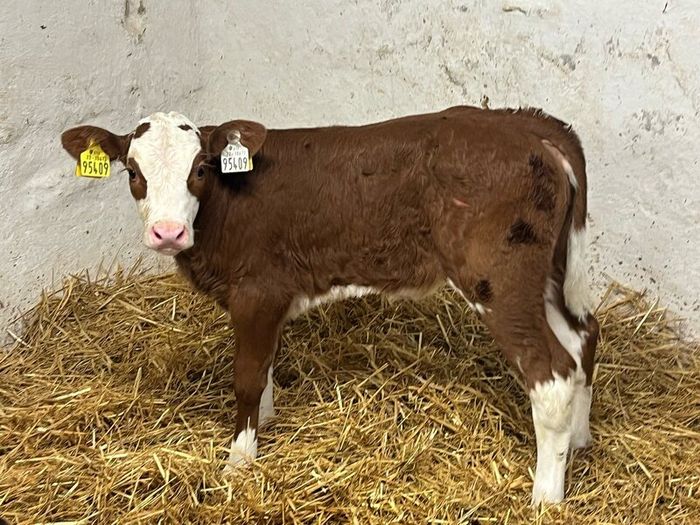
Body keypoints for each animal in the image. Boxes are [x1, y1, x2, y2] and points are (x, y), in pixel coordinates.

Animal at [61, 105, 599, 504]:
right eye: (133, 172)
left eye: (200, 169)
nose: (167, 232)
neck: (223, 208)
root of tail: (525, 125)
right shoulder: (268, 300)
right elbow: (266, 365)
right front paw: (266, 422)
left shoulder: (257, 290)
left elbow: (247, 376)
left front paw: (239, 461)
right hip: (547, 273)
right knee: (582, 340)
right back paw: (577, 442)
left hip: (499, 279)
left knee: (551, 371)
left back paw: (545, 497)